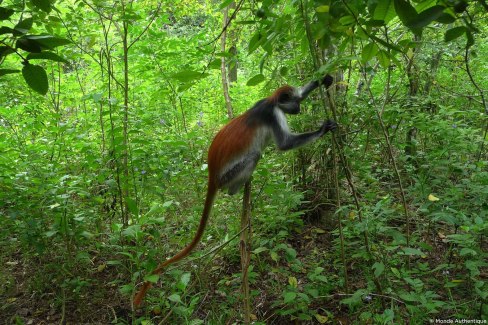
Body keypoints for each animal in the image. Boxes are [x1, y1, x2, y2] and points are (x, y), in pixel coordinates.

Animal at [135, 74, 338, 306]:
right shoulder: (273, 115)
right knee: (254, 155)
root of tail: (212, 172)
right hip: (230, 174)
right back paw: (239, 187)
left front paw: (323, 80)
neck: (272, 102)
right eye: (294, 103)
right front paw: (322, 129)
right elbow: (285, 144)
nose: (299, 108)